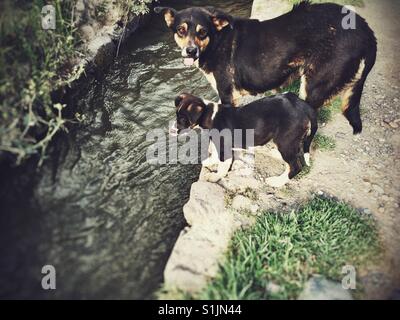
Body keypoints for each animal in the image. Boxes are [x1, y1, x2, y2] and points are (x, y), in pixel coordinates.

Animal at [155, 0, 376, 134]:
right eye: (181, 30)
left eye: (202, 32)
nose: (190, 51)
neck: (217, 41)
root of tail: (365, 29)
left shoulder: (227, 95)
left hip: (314, 86)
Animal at [173, 92, 318, 188]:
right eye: (177, 116)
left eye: (182, 120)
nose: (172, 130)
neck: (210, 115)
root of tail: (302, 105)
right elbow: (214, 152)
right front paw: (210, 161)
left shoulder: (224, 148)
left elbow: (222, 166)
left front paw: (214, 177)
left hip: (285, 140)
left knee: (295, 166)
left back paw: (276, 182)